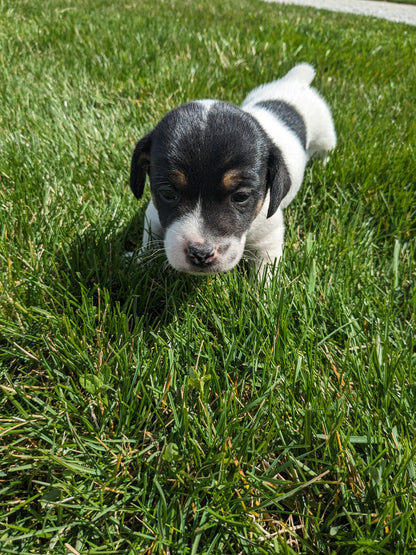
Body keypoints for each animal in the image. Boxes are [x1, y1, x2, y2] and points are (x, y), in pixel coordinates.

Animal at [128, 64, 336, 282]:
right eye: (168, 193)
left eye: (241, 196)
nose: (201, 253)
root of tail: (296, 80)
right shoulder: (153, 215)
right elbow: (150, 240)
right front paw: (138, 263)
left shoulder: (269, 236)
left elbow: (266, 271)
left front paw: (264, 290)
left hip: (325, 135)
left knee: (325, 151)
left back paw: (322, 166)